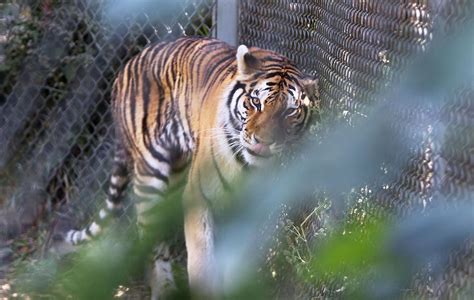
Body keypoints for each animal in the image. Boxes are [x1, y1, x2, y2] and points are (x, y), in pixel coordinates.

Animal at [62, 37, 318, 298]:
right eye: (256, 102)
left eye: (289, 111)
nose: (263, 141)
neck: (248, 168)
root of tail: (130, 62)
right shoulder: (198, 197)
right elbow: (202, 262)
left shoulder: (252, 209)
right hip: (150, 175)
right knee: (151, 239)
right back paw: (163, 289)